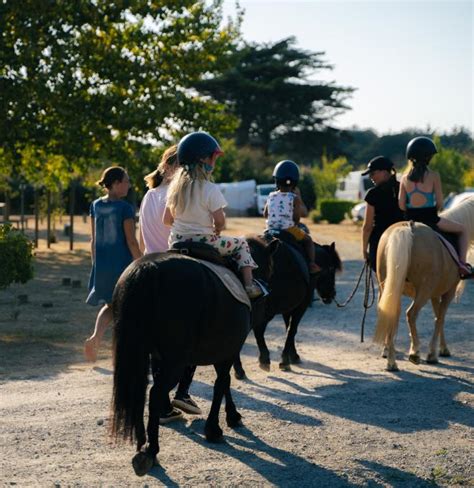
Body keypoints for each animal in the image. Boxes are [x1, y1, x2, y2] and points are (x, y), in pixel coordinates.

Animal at [109, 248, 276, 472]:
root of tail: (148, 269)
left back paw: (142, 441)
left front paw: (231, 416)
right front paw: (214, 428)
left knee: (140, 389)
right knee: (155, 393)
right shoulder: (228, 350)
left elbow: (223, 383)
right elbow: (222, 383)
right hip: (176, 359)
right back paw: (151, 450)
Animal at [233, 236, 340, 378]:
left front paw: (291, 356)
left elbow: (286, 328)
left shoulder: (286, 308)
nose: (331, 294)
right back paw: (244, 366)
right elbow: (291, 330)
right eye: (332, 268)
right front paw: (284, 360)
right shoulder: (300, 306)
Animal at [374, 196, 474, 372]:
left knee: (390, 314)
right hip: (423, 291)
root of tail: (408, 227)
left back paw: (391, 361)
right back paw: (414, 352)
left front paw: (442, 349)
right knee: (411, 314)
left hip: (389, 288)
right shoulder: (448, 292)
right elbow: (440, 318)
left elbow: (437, 316)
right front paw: (433, 354)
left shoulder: (435, 294)